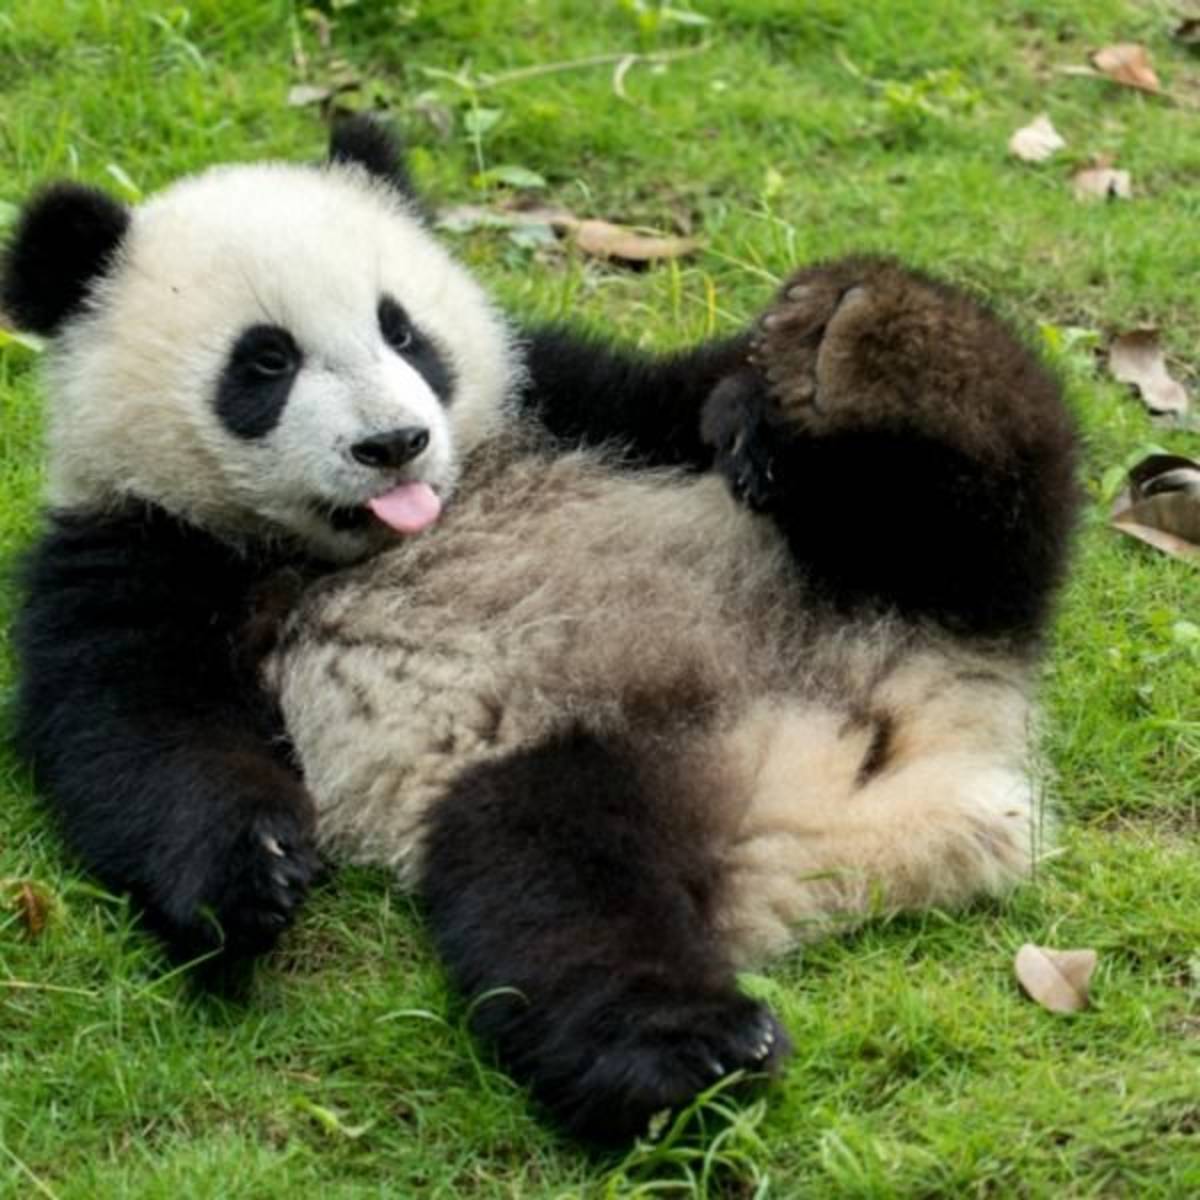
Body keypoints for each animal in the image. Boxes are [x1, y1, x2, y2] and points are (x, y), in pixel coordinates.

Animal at [2, 117, 1078, 1144]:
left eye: (403, 331)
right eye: (266, 361)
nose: (395, 444)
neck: (362, 544)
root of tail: (895, 784)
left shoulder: (559, 397)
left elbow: (680, 391)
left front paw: (777, 381)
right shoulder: (131, 548)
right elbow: (141, 734)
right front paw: (253, 872)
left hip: (856, 571)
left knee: (987, 490)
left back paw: (886, 344)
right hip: (570, 759)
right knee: (555, 893)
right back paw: (689, 1052)